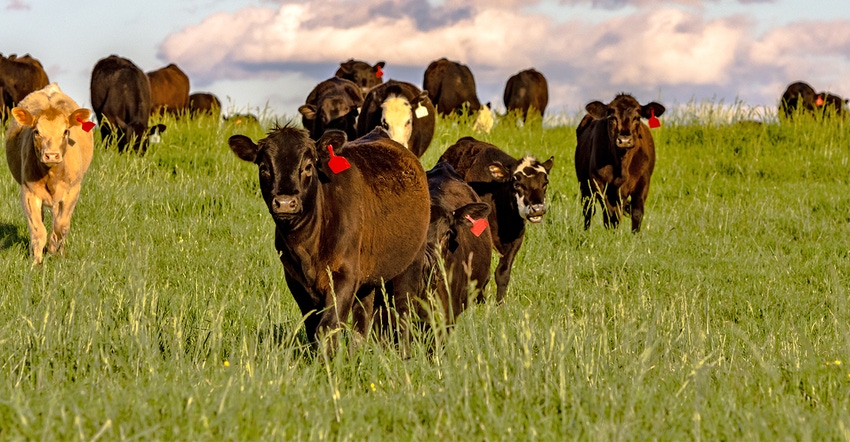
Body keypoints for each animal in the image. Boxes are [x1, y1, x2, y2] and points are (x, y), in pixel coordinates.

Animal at [4, 84, 95, 264]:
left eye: (65, 131)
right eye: (36, 131)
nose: (51, 155)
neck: (51, 176)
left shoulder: (72, 191)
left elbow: (61, 226)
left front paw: (54, 250)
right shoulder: (28, 193)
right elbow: (38, 231)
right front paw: (36, 262)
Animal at [225, 124, 428, 348]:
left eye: (307, 167)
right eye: (264, 168)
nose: (285, 203)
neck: (307, 246)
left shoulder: (345, 274)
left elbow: (328, 325)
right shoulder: (296, 281)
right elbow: (313, 327)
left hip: (410, 264)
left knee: (404, 313)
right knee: (362, 319)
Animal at [438, 138, 556, 304]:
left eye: (545, 183)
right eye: (517, 184)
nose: (537, 208)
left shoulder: (516, 239)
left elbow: (503, 273)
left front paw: (499, 303)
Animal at [568, 92, 664, 231]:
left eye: (637, 118)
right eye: (612, 118)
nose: (624, 140)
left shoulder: (643, 182)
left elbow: (637, 213)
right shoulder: (600, 183)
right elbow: (610, 216)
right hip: (585, 186)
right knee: (589, 209)